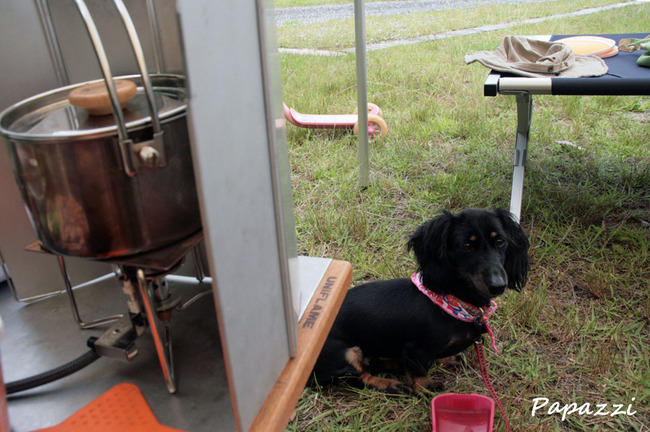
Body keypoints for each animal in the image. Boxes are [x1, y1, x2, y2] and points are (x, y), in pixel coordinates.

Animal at [312, 208, 528, 394]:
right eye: (466, 246)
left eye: (500, 241)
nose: (498, 285)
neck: (455, 302)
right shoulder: (416, 348)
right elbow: (419, 376)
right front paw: (426, 388)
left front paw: (445, 360)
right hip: (345, 353)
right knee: (360, 378)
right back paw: (391, 384)